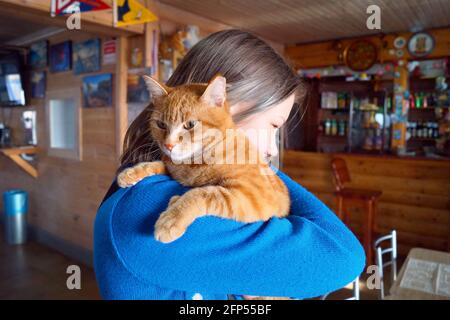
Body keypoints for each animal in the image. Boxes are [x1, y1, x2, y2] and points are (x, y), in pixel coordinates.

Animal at [118, 75, 290, 245]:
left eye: (190, 124)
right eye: (161, 124)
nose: (168, 145)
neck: (194, 164)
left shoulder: (253, 195)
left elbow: (202, 193)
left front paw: (171, 219)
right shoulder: (172, 168)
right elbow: (156, 164)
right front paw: (131, 173)